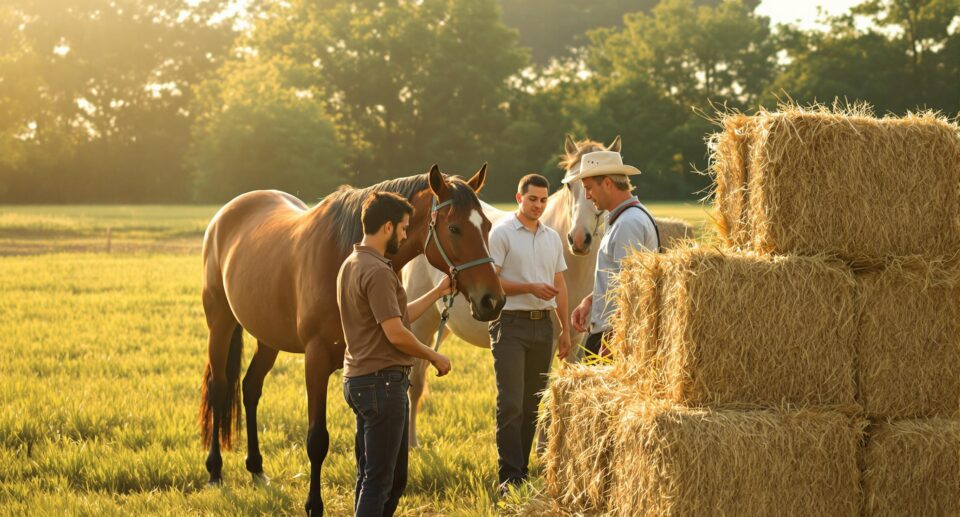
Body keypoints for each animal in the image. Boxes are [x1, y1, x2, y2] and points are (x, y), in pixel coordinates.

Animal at [199, 164, 506, 512]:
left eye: (488, 226)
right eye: (454, 228)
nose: (493, 300)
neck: (342, 255)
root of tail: (226, 213)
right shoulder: (316, 360)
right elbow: (317, 440)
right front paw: (314, 505)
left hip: (268, 337)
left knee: (251, 388)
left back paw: (256, 468)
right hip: (220, 323)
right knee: (219, 388)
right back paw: (215, 471)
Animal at [400, 135, 620, 446]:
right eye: (569, 185)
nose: (579, 239)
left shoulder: (574, 342)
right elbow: (541, 392)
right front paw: (541, 446)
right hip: (421, 324)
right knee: (416, 383)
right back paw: (412, 443)